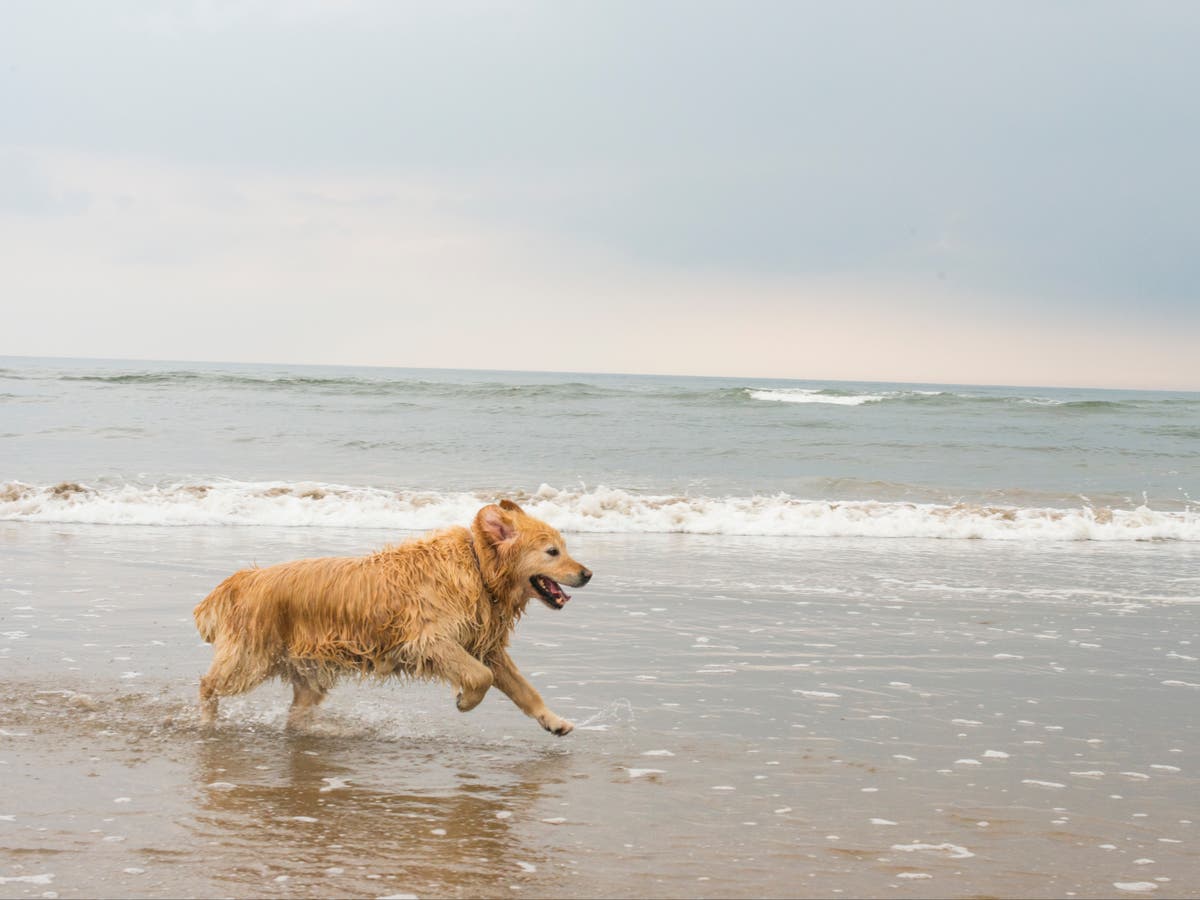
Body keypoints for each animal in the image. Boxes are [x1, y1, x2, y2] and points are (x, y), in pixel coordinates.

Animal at [189, 504, 592, 734]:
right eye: (552, 552)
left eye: (564, 548)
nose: (587, 573)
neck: (478, 567)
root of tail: (244, 579)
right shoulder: (430, 640)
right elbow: (481, 676)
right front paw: (465, 700)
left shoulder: (485, 645)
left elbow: (524, 689)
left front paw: (554, 721)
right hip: (251, 660)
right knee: (208, 685)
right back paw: (206, 723)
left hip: (308, 673)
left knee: (296, 714)